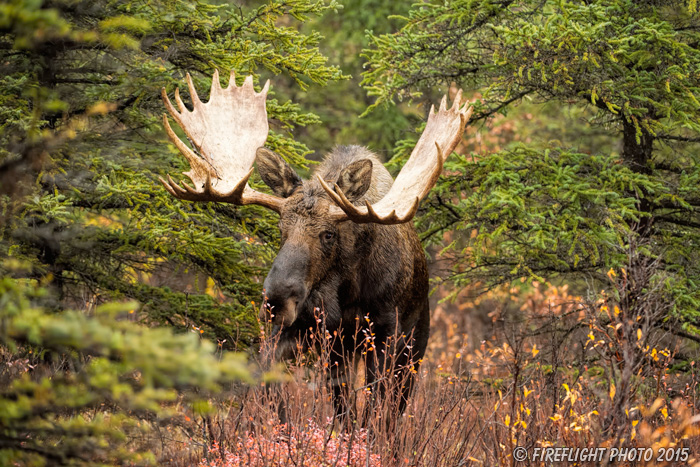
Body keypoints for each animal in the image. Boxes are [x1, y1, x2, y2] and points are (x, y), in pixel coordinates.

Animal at [159, 70, 471, 426]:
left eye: (328, 234)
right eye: (280, 228)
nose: (276, 300)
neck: (349, 291)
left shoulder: (387, 335)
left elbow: (377, 414)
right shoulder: (307, 333)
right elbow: (278, 391)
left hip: (414, 343)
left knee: (395, 405)